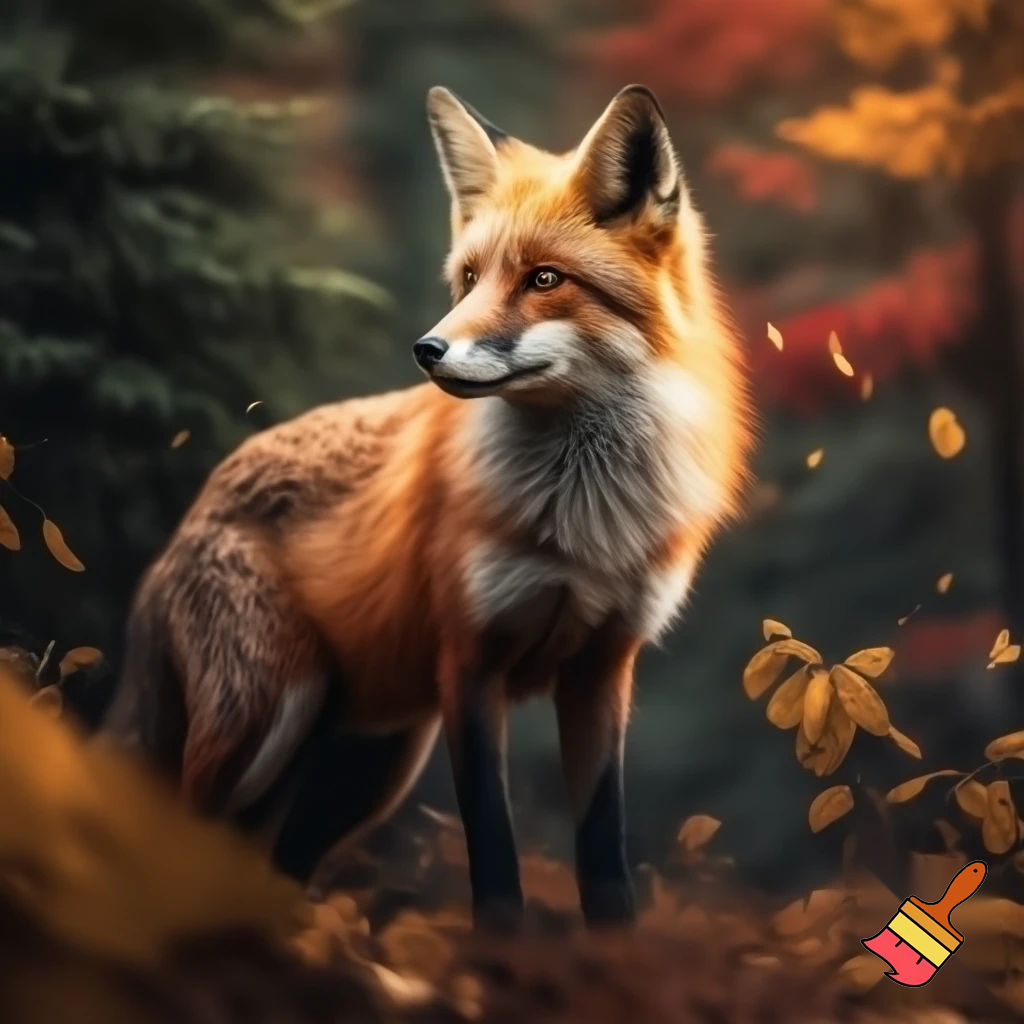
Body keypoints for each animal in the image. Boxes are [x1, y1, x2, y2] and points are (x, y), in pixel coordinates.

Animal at [103, 84, 754, 929]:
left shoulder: (602, 669)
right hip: (267, 722)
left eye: (545, 280)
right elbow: (494, 847)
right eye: (469, 278)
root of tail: (193, 511)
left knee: (272, 864)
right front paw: (502, 947)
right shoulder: (468, 661)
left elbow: (603, 845)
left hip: (363, 768)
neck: (579, 521)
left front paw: (613, 945)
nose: (428, 350)